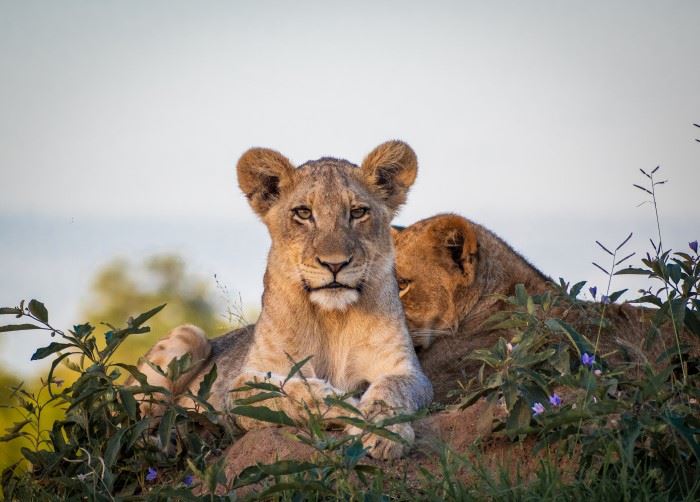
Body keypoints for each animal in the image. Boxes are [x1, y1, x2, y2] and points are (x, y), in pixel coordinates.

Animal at [133, 140, 432, 458]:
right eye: (303, 213)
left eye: (358, 212)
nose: (335, 263)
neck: (333, 318)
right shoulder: (240, 387)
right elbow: (293, 392)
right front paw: (345, 405)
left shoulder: (405, 370)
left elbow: (390, 390)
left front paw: (382, 433)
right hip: (190, 336)